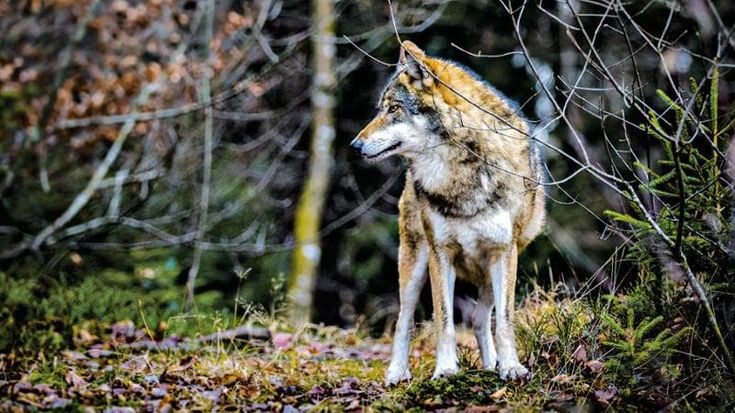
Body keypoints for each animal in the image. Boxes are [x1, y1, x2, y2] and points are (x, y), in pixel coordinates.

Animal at [351, 41, 545, 384]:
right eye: (381, 108)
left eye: (394, 109)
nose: (354, 146)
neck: (460, 170)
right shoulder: (440, 252)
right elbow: (443, 320)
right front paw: (445, 370)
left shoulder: (503, 252)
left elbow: (505, 320)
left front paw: (511, 367)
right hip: (414, 262)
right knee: (403, 321)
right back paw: (396, 373)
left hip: (490, 270)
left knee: (481, 319)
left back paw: (490, 365)